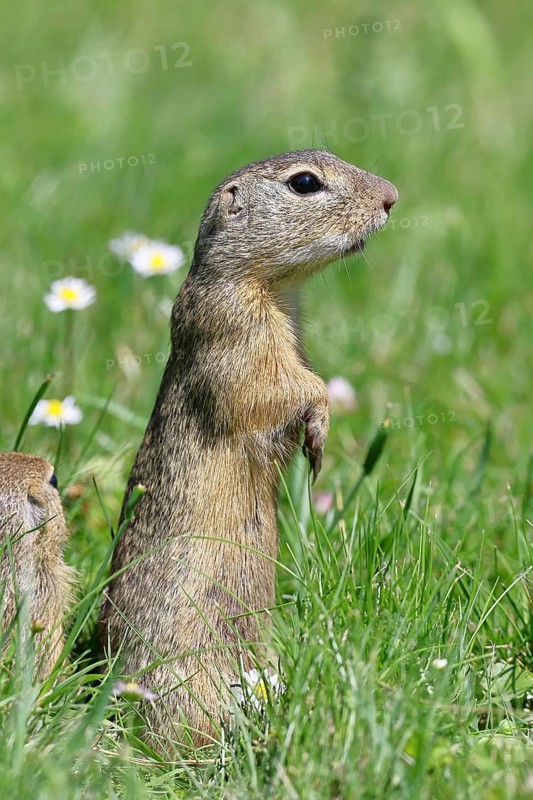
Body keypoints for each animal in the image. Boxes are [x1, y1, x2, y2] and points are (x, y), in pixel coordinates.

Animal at [100, 150, 398, 750]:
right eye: (305, 182)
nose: (392, 197)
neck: (271, 286)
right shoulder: (237, 330)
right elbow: (281, 386)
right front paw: (319, 428)